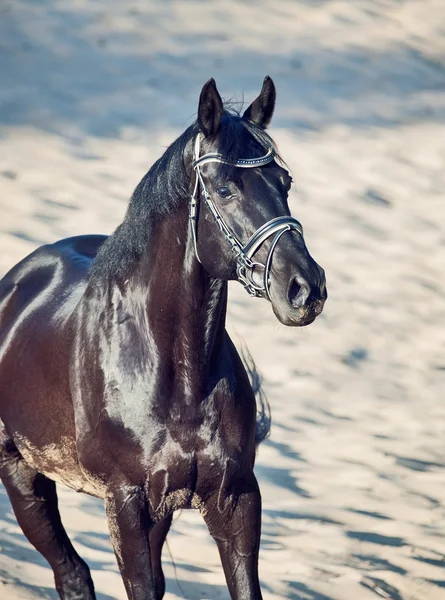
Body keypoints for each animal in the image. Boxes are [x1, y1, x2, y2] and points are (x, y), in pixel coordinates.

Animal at [0, 78, 326, 600]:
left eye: (285, 182)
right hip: (21, 472)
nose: (305, 288)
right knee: (72, 572)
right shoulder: (128, 503)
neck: (176, 376)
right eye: (224, 188)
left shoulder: (236, 499)